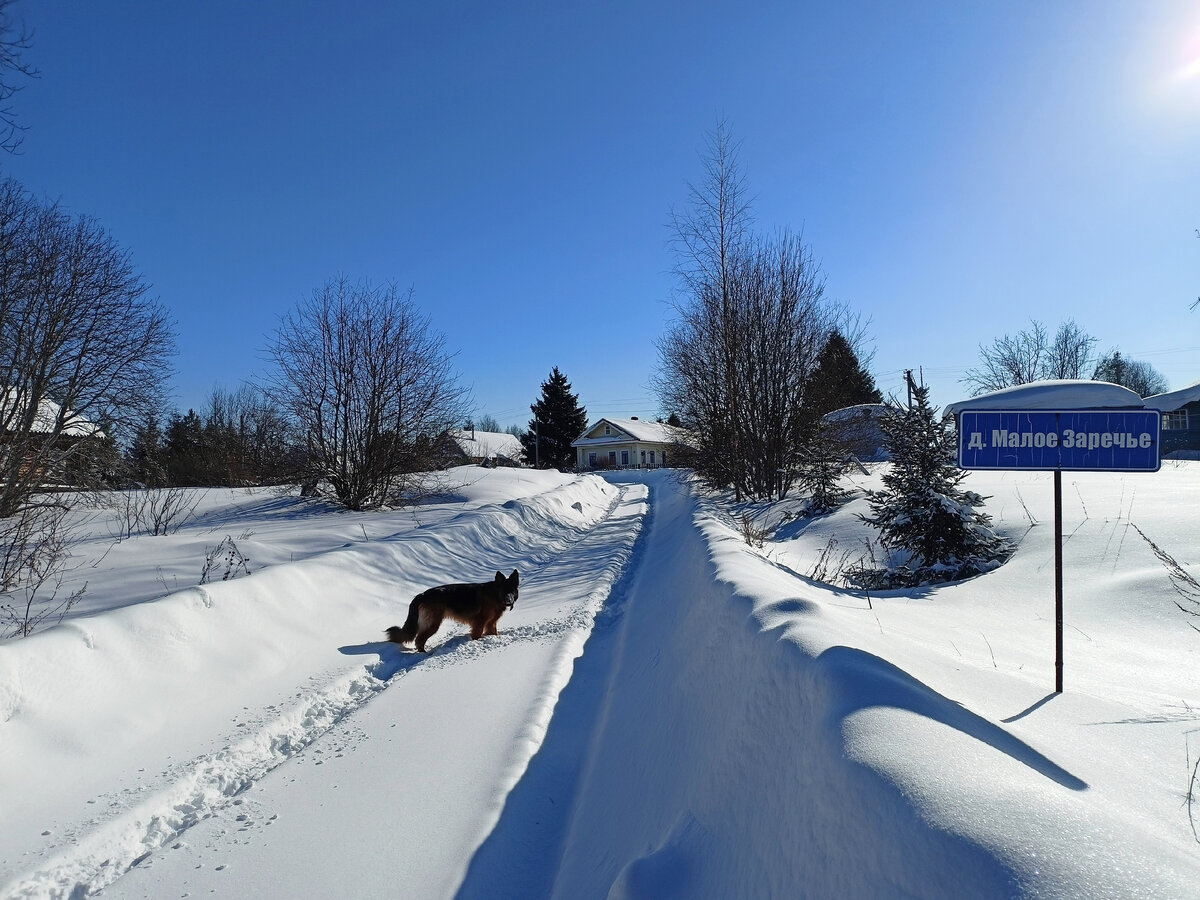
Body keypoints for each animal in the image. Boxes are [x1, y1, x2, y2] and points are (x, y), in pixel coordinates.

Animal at [384, 573, 516, 652]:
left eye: (513, 591)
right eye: (504, 591)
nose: (509, 601)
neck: (494, 594)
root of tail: (422, 594)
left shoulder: (491, 623)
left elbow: (493, 632)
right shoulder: (479, 622)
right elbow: (477, 635)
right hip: (433, 624)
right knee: (419, 639)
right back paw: (424, 654)